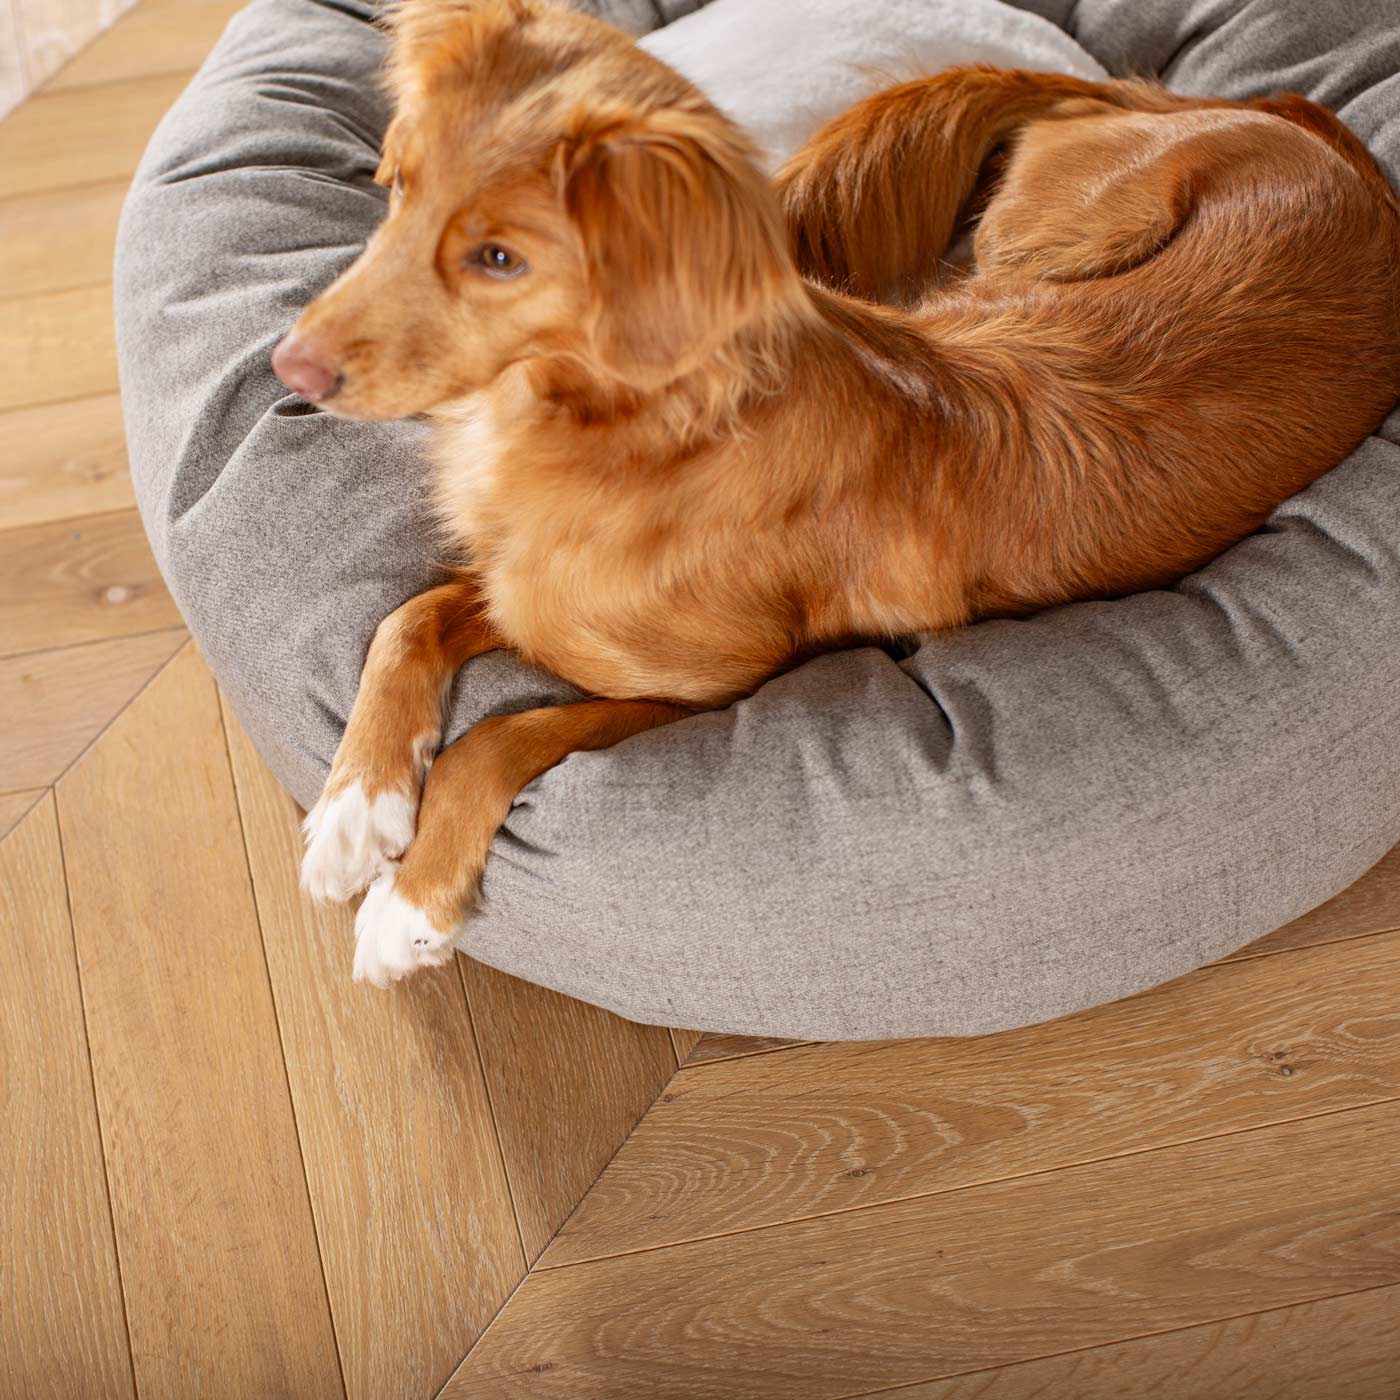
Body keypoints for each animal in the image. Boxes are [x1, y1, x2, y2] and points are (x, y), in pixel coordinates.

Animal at [270, 0, 1400, 991]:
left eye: (498, 257)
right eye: (393, 187)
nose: (288, 368)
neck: (641, 428)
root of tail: (1294, 120)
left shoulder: (709, 689)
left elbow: (498, 738)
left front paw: (408, 906)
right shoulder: (528, 588)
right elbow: (407, 618)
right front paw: (355, 810)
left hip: (1043, 237)